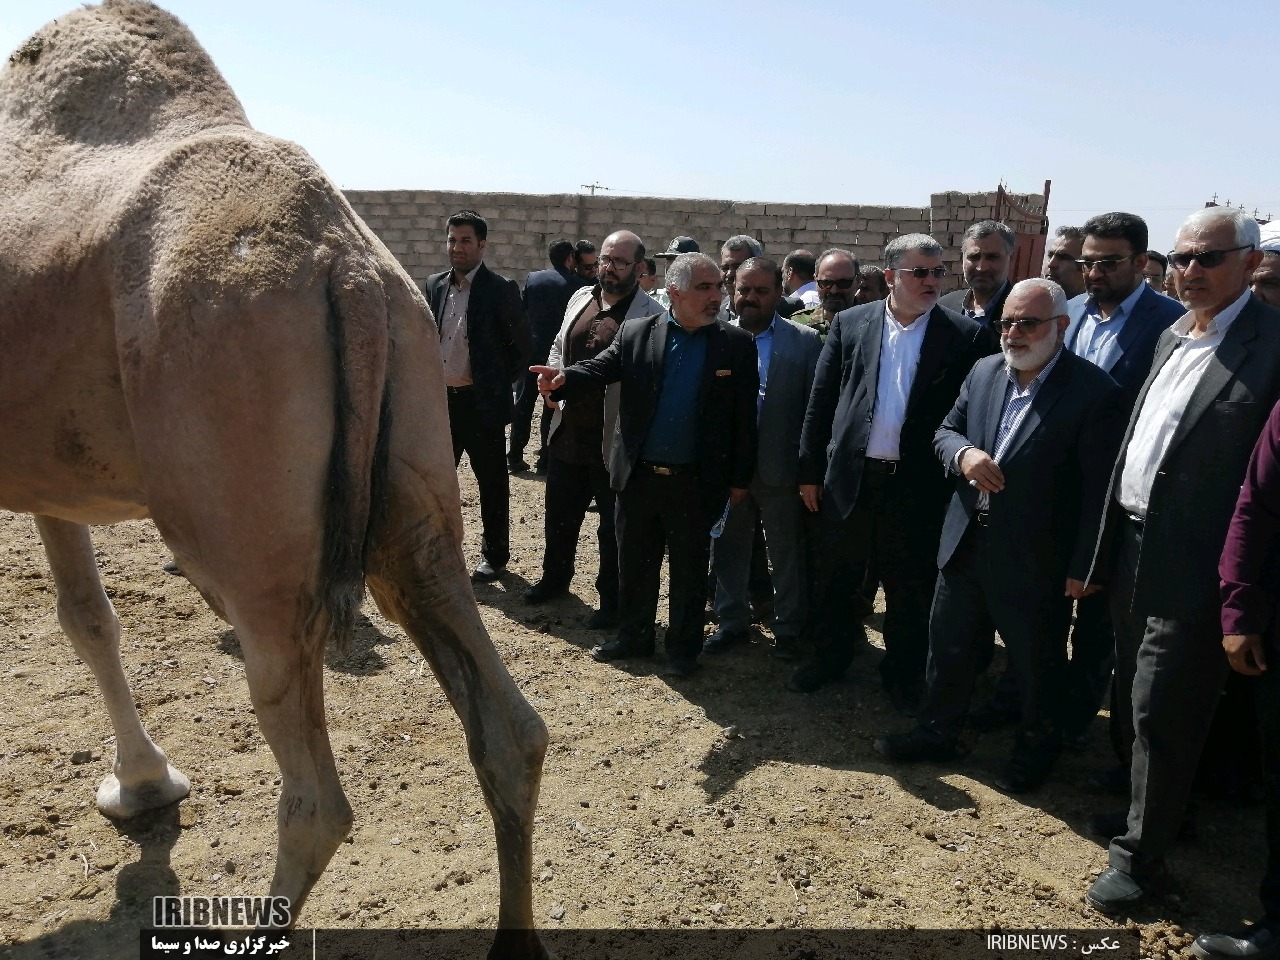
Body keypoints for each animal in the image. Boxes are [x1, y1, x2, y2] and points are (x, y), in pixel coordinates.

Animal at [0, 1, 545, 957]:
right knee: (504, 718)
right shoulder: (49, 475)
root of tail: (346, 268)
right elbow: (89, 617)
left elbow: (84, 619)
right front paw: (142, 787)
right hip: (412, 461)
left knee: (315, 796)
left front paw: (142, 785)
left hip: (242, 500)